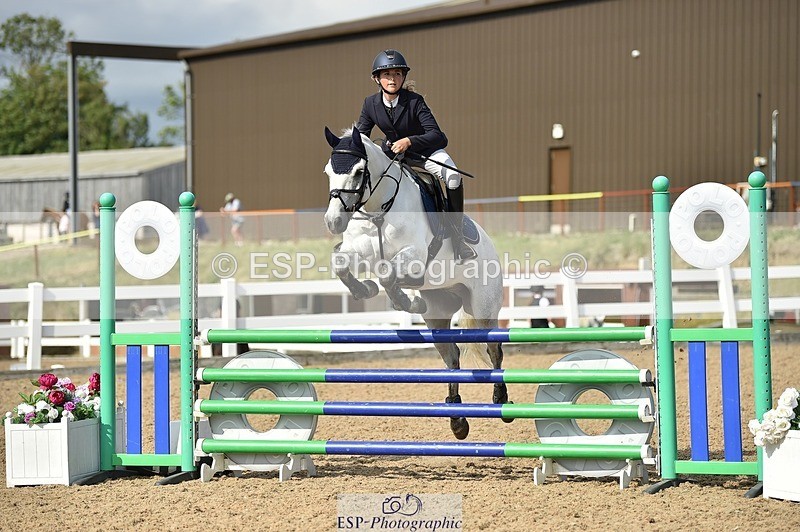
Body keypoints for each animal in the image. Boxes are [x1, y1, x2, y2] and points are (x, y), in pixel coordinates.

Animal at [323, 126, 512, 440]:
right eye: (327, 171)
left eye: (359, 172)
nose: (334, 222)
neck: (378, 209)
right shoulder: (358, 251)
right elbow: (343, 264)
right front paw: (367, 289)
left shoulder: (414, 256)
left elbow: (388, 274)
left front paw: (404, 299)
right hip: (438, 314)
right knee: (452, 355)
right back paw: (457, 419)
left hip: (484, 308)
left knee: (493, 349)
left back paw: (500, 399)